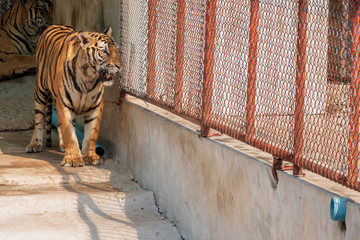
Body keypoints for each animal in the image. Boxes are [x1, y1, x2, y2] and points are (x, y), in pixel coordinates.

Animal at [25, 24, 121, 167]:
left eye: (116, 50)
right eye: (104, 51)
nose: (119, 66)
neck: (89, 77)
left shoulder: (96, 106)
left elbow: (91, 134)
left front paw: (91, 156)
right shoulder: (64, 103)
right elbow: (69, 133)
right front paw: (73, 159)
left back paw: (63, 146)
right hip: (40, 91)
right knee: (39, 119)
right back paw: (34, 144)